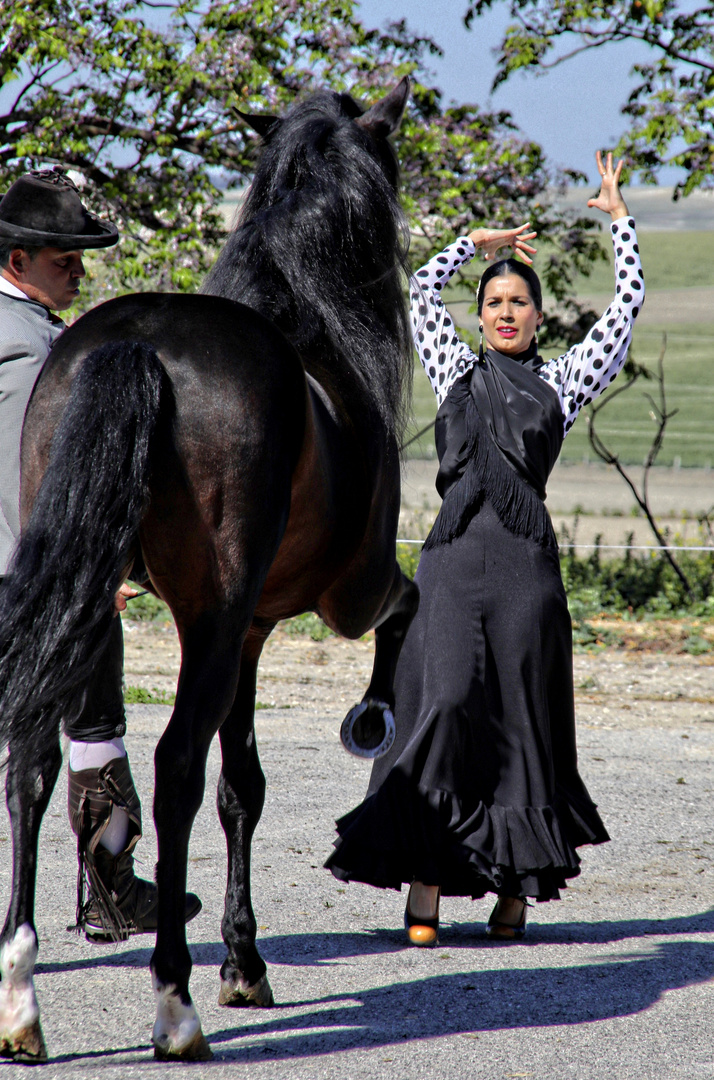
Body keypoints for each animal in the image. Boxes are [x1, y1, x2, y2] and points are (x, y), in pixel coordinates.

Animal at [0, 79, 416, 1058]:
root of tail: (143, 344)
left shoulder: (255, 629)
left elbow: (245, 789)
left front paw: (244, 959)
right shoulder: (347, 594)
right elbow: (407, 608)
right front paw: (375, 715)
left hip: (96, 603)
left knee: (33, 759)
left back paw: (22, 999)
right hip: (215, 622)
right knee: (176, 766)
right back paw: (174, 1005)